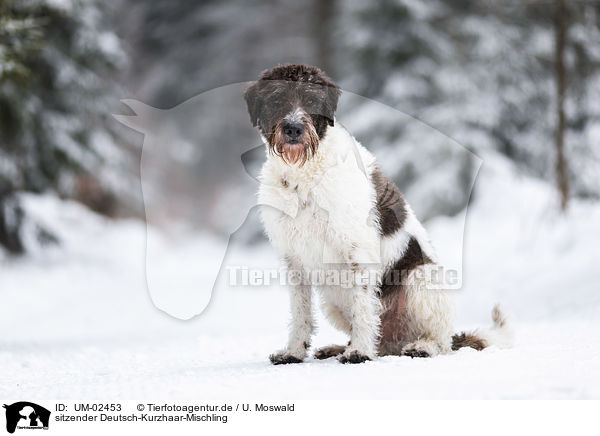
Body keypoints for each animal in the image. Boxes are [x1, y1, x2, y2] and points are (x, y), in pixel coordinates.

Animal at [244, 65, 510, 364]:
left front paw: (359, 352)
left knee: (440, 341)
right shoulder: (294, 259)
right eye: (277, 99)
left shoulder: (358, 250)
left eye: (311, 99)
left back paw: (420, 347)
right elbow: (300, 312)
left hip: (422, 278)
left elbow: (362, 308)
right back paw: (339, 347)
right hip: (333, 301)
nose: (293, 128)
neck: (304, 175)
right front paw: (293, 352)